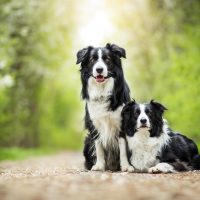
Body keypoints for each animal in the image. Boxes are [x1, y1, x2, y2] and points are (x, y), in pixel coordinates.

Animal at [76, 43, 131, 171]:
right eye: (92, 60)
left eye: (107, 59)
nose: (99, 69)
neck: (102, 91)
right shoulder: (94, 125)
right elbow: (99, 147)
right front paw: (99, 165)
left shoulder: (122, 124)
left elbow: (123, 149)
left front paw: (126, 166)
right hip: (87, 140)